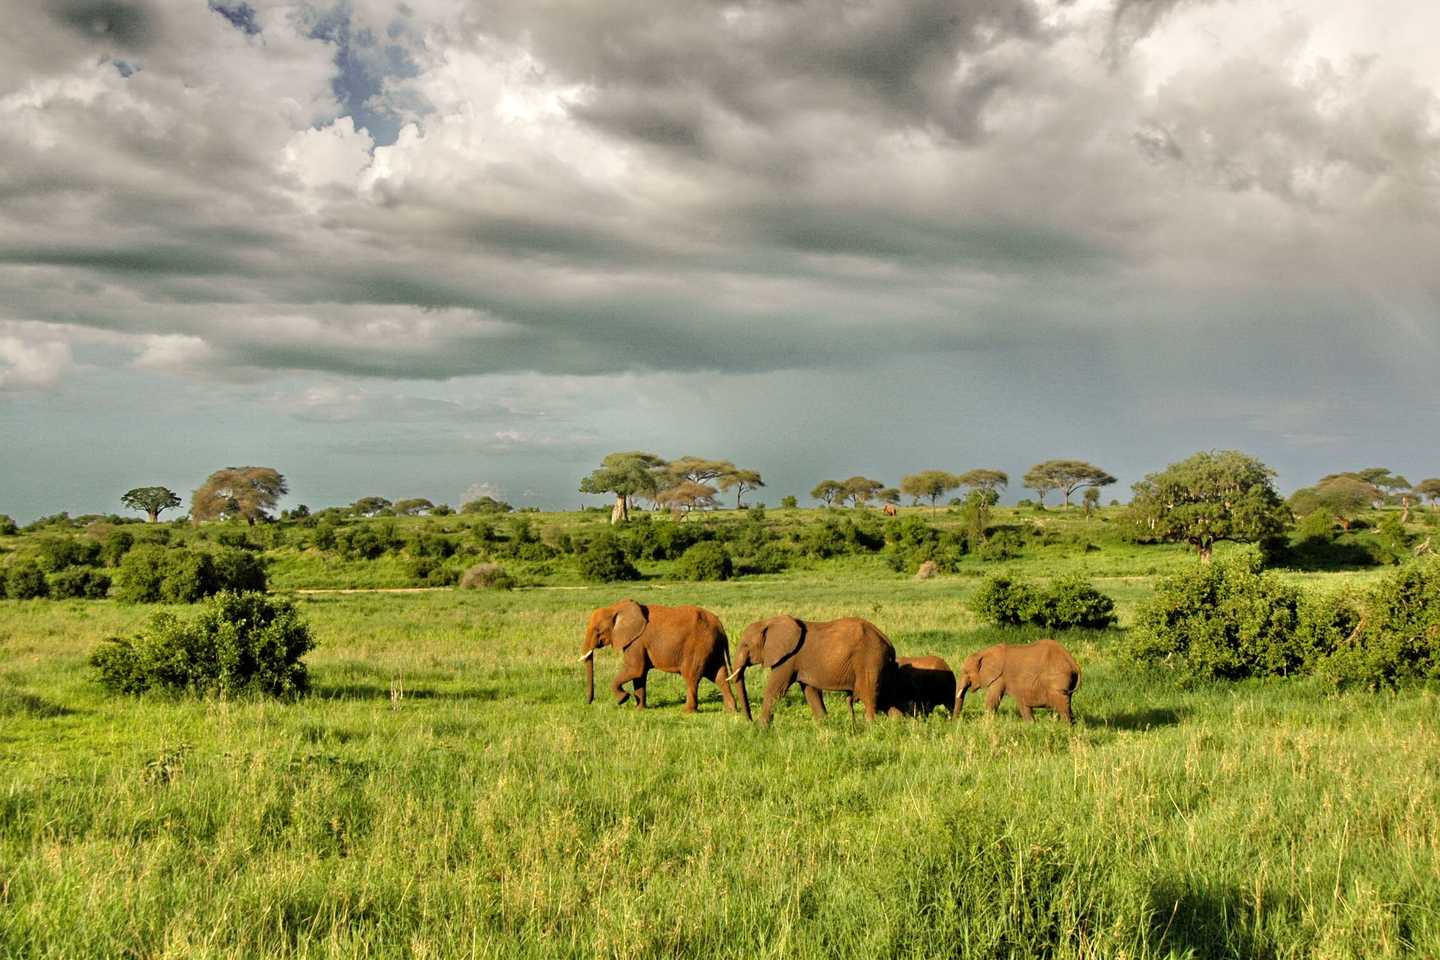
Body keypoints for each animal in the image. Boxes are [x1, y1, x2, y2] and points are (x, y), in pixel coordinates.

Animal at [579, 600, 749, 717]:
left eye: (598, 631)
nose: (588, 703)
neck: (616, 607)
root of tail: (720, 626)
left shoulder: (636, 642)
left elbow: (635, 670)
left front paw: (623, 699)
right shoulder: (636, 643)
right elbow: (639, 675)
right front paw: (639, 709)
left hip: (699, 646)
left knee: (691, 676)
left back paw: (687, 711)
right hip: (712, 648)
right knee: (719, 676)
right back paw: (730, 710)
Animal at [727, 615, 899, 725]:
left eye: (746, 645)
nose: (749, 720)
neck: (769, 622)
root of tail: (887, 641)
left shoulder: (788, 659)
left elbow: (774, 689)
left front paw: (761, 728)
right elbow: (811, 691)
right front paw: (824, 724)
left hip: (870, 660)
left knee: (868, 695)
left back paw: (871, 726)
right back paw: (895, 723)